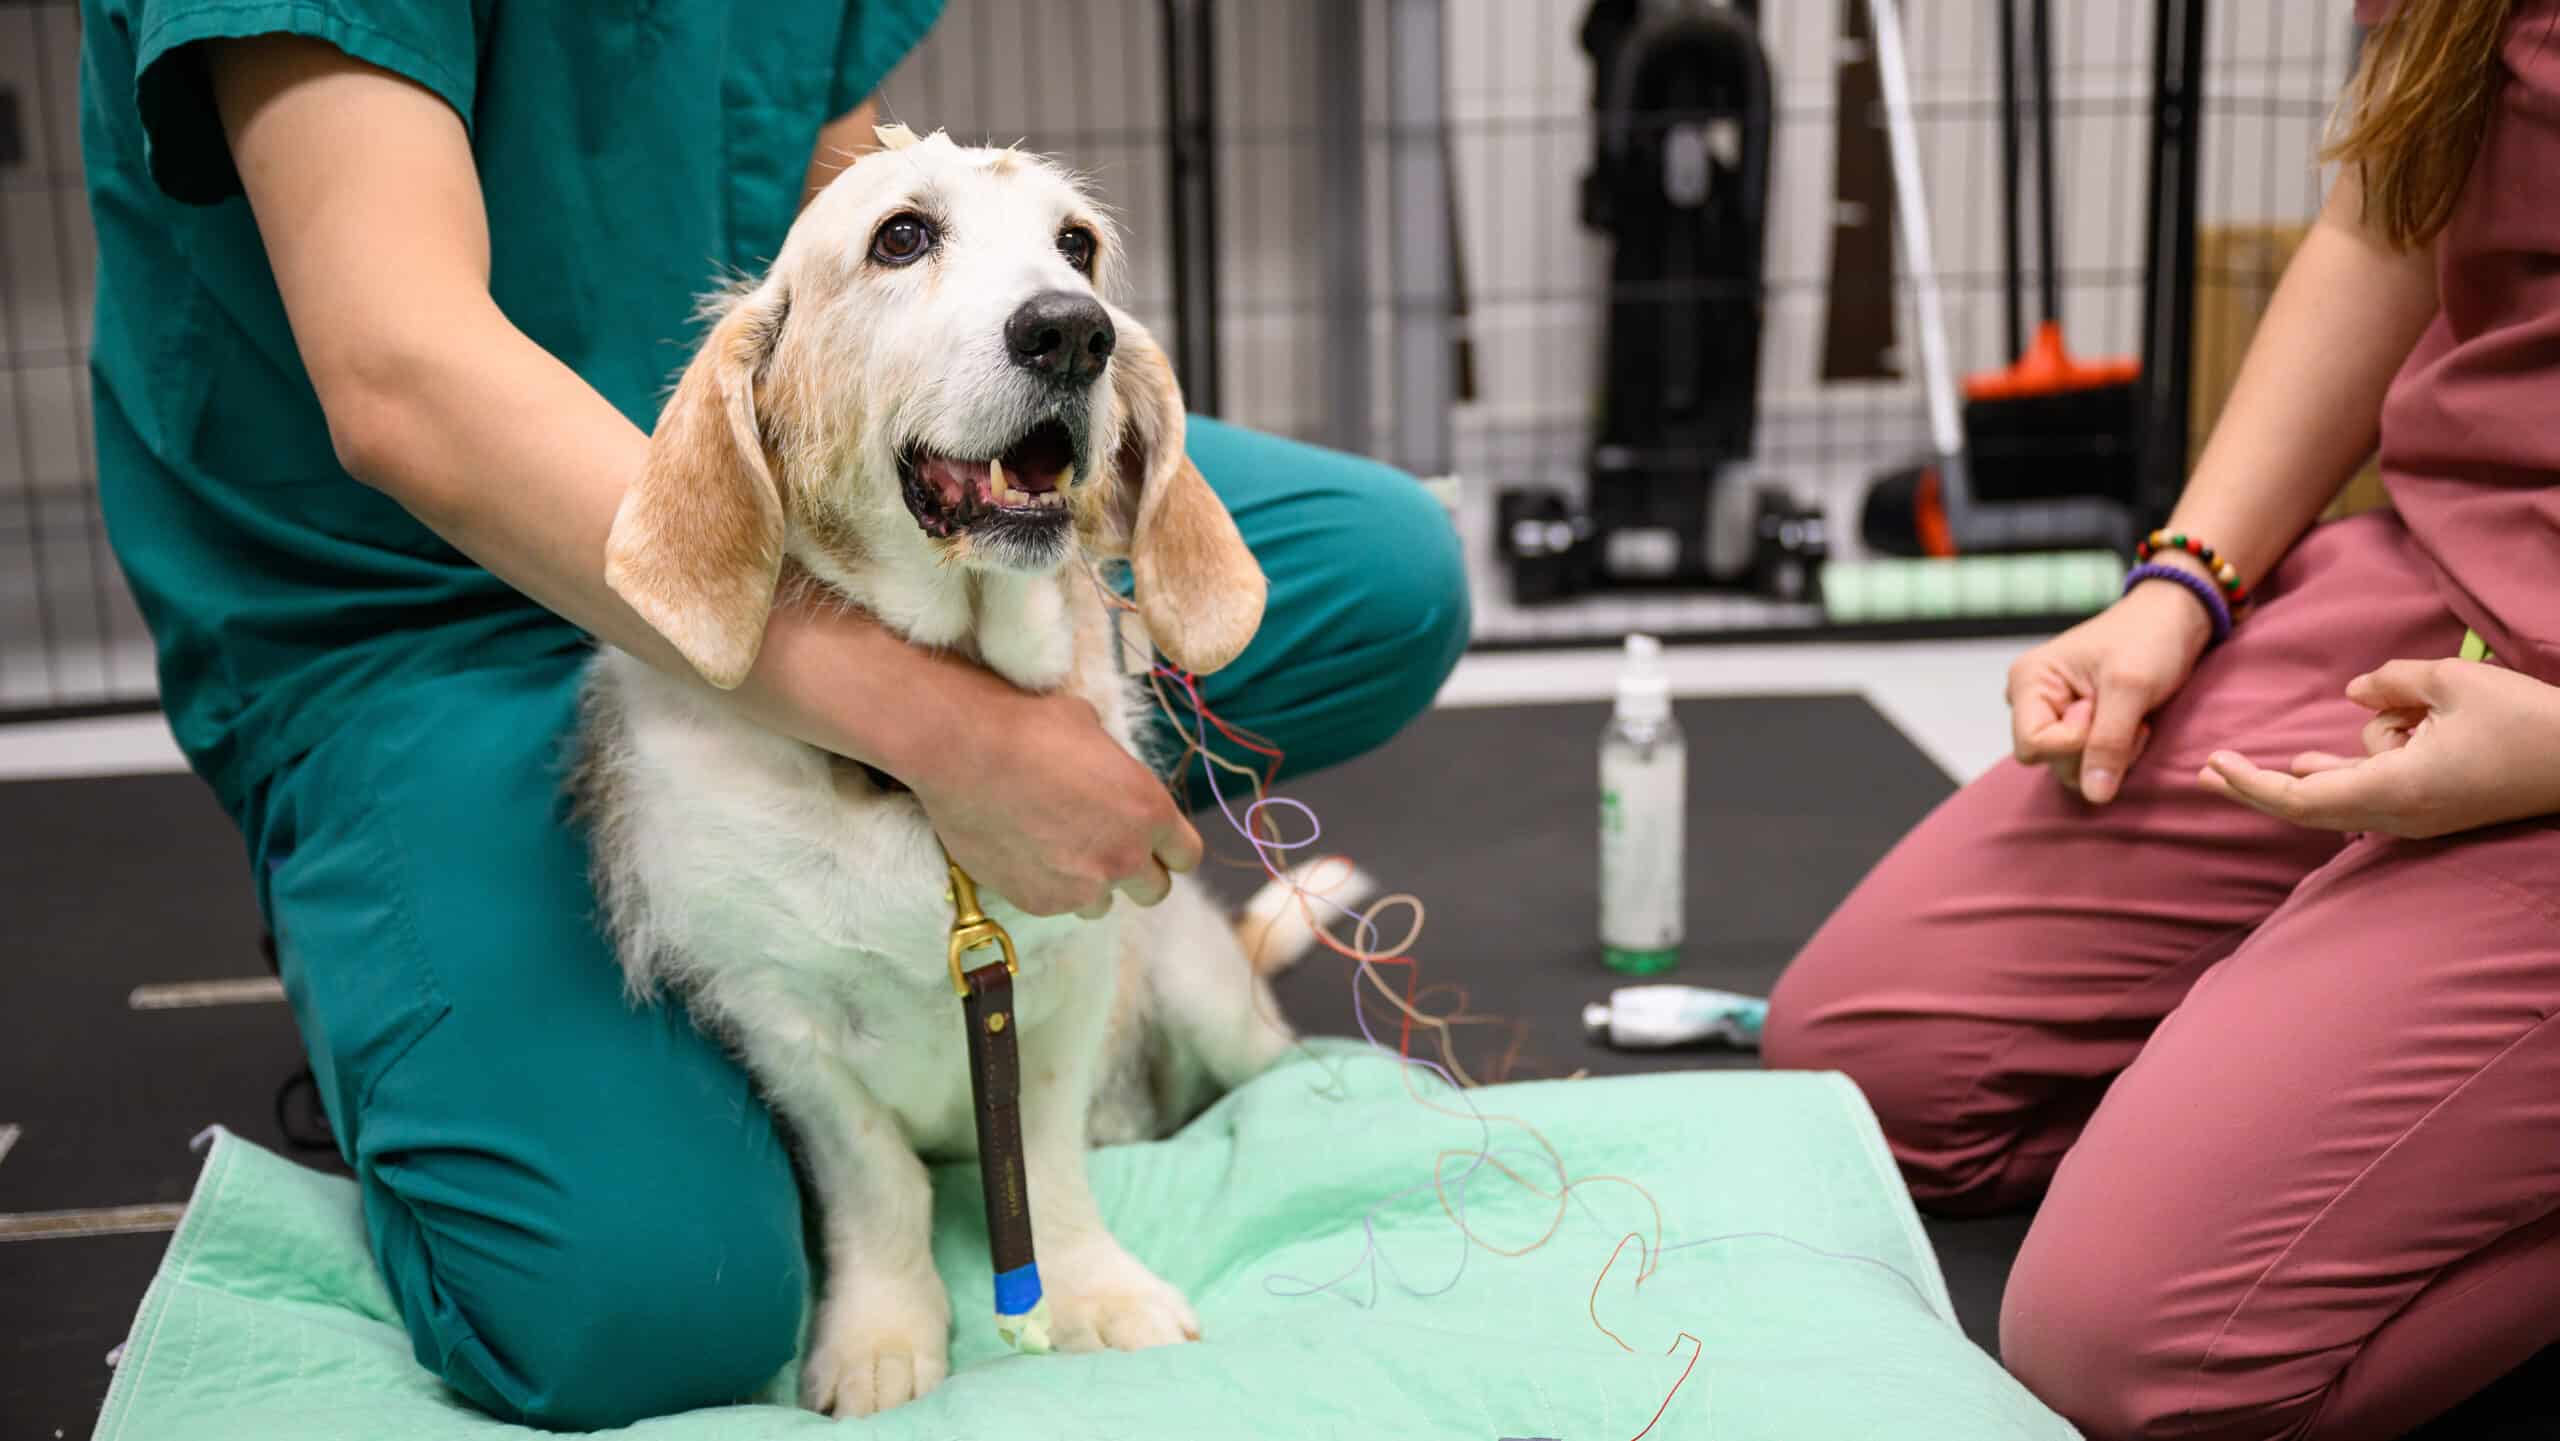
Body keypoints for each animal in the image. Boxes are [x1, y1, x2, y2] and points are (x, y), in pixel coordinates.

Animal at [576, 126, 1320, 1423]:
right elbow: (879, 1187)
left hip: (1204, 988)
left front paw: (1093, 1292)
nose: (1072, 331)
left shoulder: (1070, 986)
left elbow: (1052, 1169)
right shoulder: (783, 1030)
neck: (915, 797)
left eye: (1076, 244)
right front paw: (882, 1336)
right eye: (902, 236)